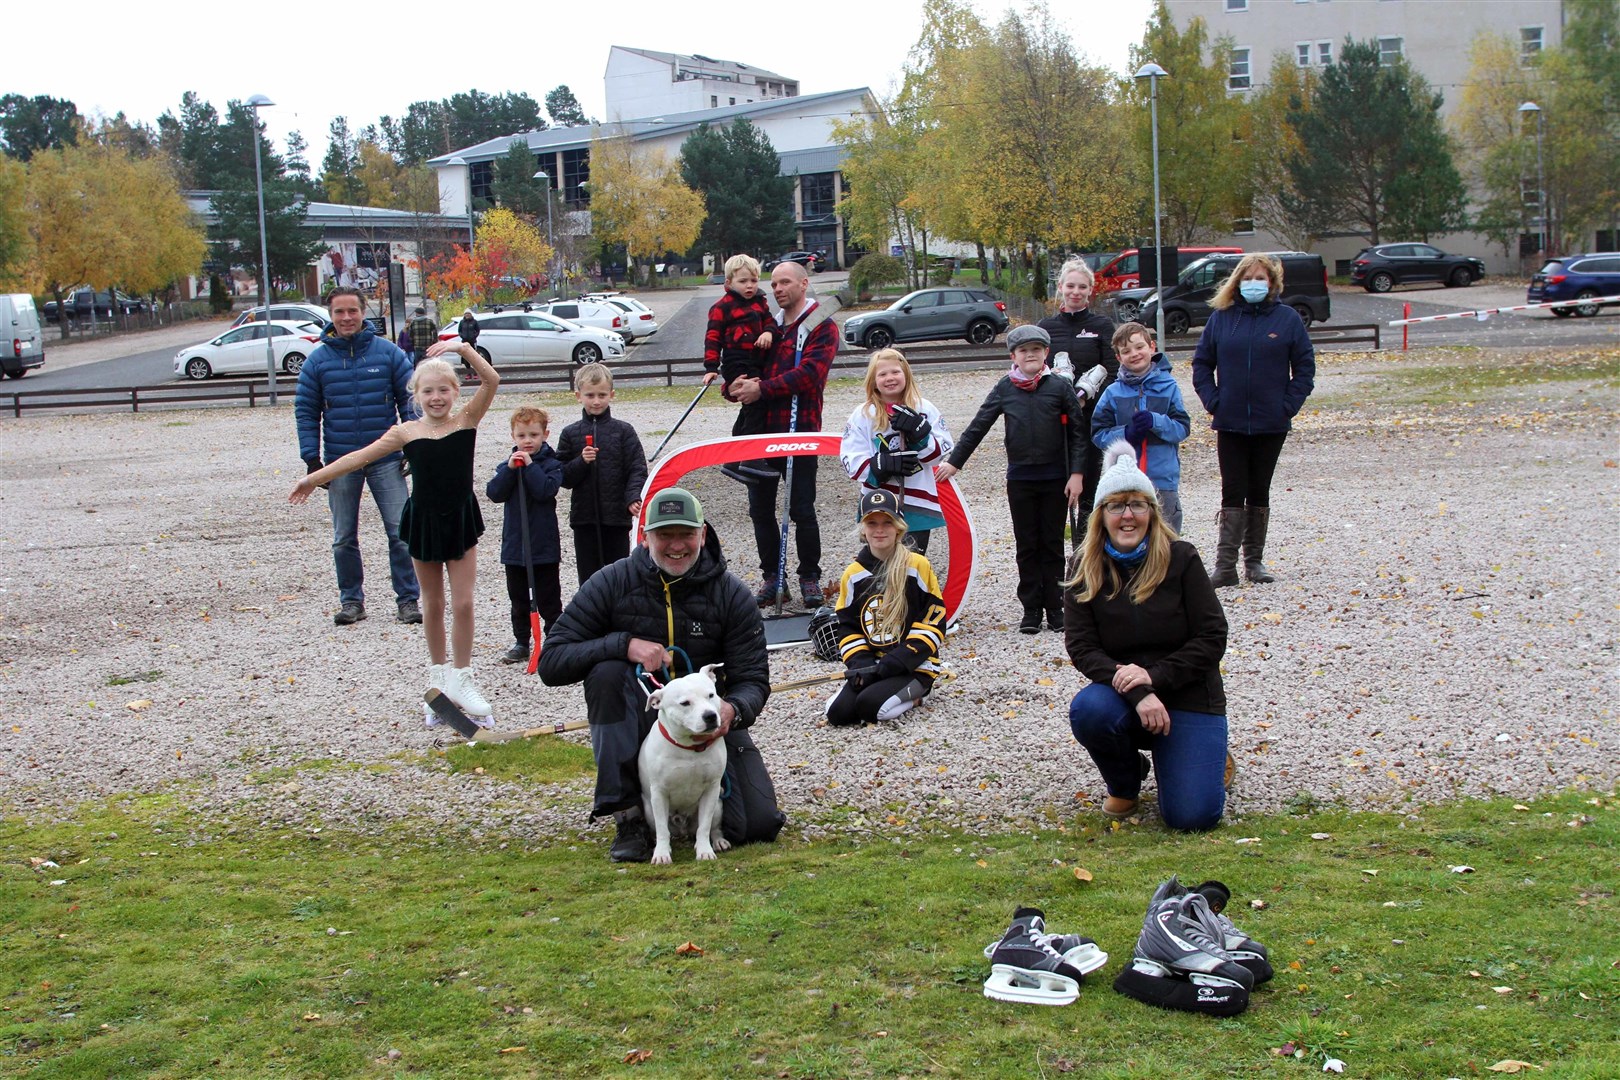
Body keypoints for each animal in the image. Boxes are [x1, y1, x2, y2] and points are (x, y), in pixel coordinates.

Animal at [635, 663, 732, 867]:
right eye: (685, 703)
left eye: (711, 695)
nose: (710, 716)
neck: (689, 747)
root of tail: (683, 829)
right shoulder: (659, 793)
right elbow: (662, 829)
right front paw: (661, 854)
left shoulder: (711, 790)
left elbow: (704, 827)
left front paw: (704, 851)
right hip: (649, 811)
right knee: (661, 829)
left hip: (718, 805)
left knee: (712, 827)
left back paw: (718, 841)